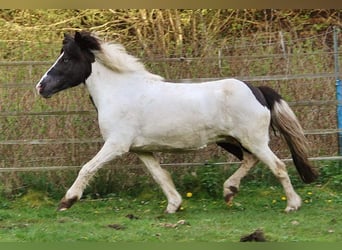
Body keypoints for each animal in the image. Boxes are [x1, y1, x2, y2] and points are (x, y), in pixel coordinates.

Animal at [35, 31, 318, 213]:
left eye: (67, 58)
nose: (41, 87)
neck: (120, 92)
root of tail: (256, 90)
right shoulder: (142, 150)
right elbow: (160, 176)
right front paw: (174, 205)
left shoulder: (116, 145)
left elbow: (87, 168)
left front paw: (66, 201)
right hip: (232, 140)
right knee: (250, 160)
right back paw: (229, 190)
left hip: (253, 140)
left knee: (278, 166)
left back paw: (292, 205)